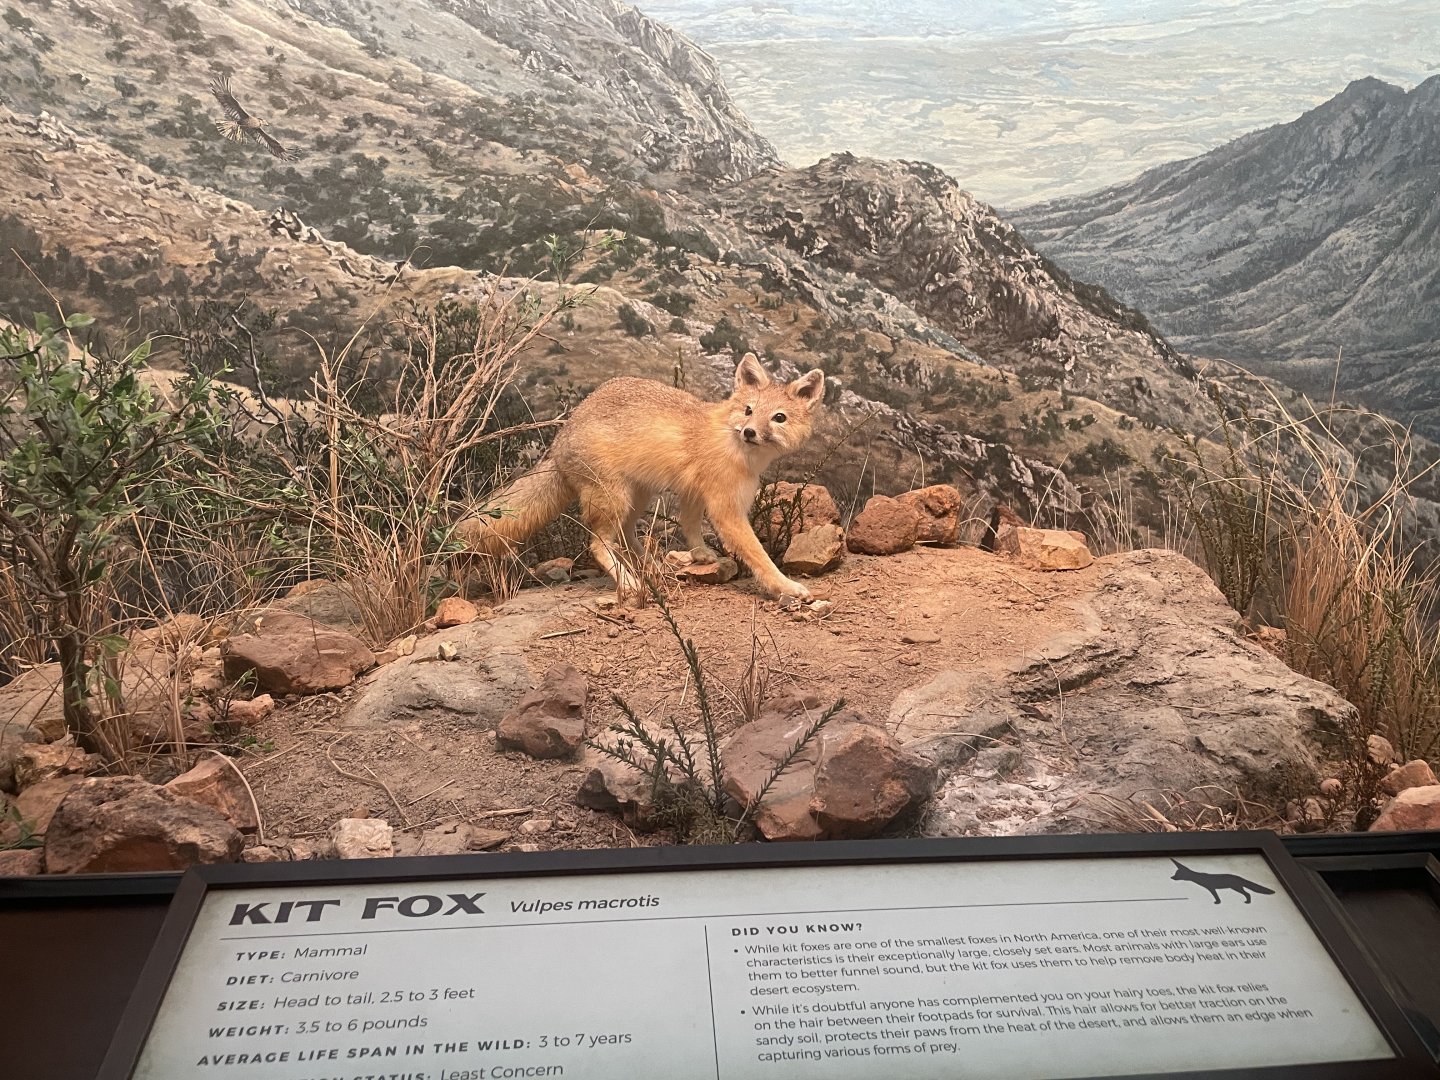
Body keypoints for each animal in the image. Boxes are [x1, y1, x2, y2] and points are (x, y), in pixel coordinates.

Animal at [456, 353, 826, 601]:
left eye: (778, 418)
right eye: (749, 411)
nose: (749, 432)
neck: (735, 446)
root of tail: (559, 443)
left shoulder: (694, 493)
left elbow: (690, 526)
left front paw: (701, 554)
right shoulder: (725, 509)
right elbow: (759, 556)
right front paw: (785, 586)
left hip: (638, 496)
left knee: (625, 535)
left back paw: (651, 563)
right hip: (614, 498)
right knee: (598, 543)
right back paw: (629, 580)